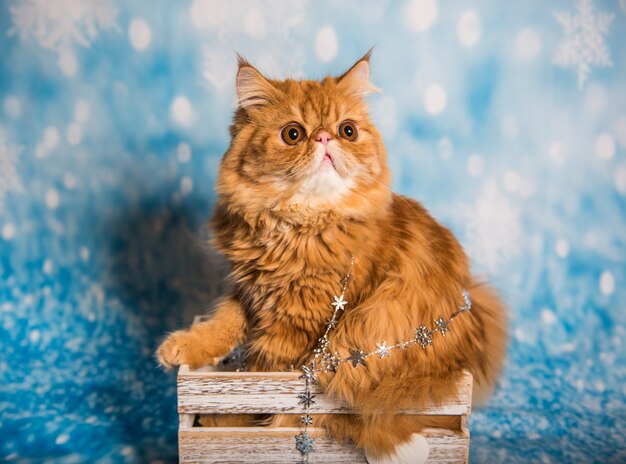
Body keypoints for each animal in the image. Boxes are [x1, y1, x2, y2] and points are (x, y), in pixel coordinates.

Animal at [157, 51, 508, 460]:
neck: (298, 225)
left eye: (348, 131)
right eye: (293, 134)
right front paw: (186, 348)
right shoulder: (251, 290)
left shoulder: (297, 328)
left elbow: (259, 382)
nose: (325, 138)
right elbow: (222, 325)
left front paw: (223, 422)